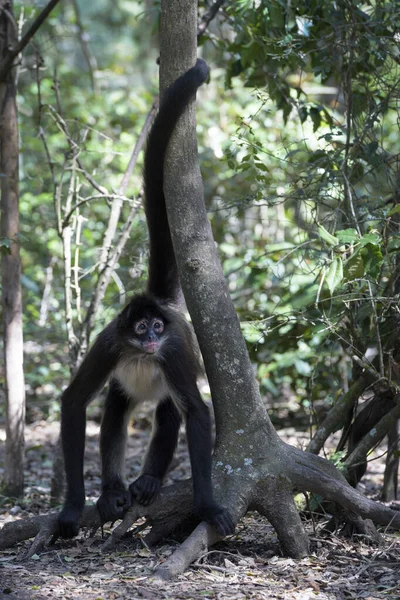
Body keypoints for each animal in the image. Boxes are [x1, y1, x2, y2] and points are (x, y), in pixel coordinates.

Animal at [57, 59, 236, 540]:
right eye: (139, 328)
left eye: (157, 328)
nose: (153, 336)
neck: (141, 351)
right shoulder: (109, 343)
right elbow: (74, 402)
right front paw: (72, 507)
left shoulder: (172, 350)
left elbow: (197, 413)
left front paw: (207, 506)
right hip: (124, 384)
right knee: (116, 409)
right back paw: (112, 490)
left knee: (171, 411)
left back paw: (150, 479)